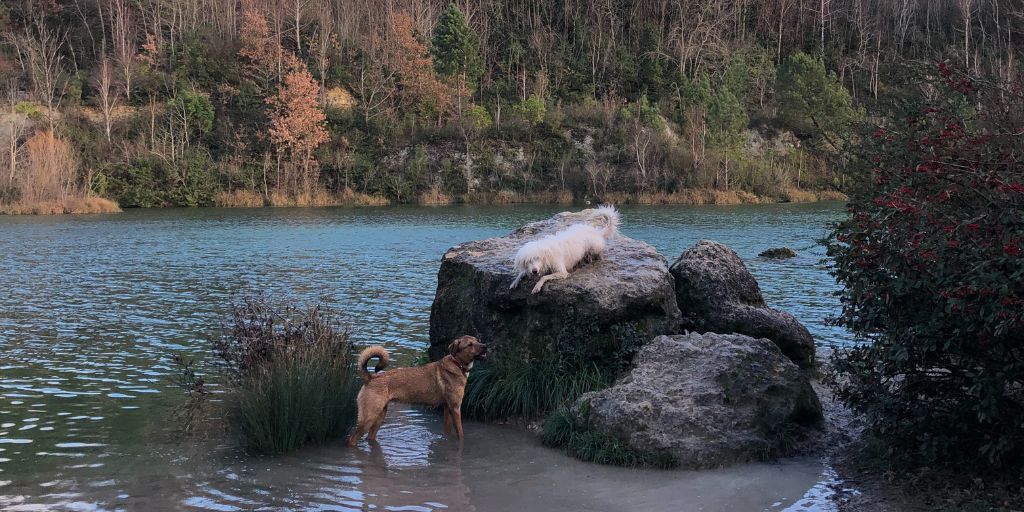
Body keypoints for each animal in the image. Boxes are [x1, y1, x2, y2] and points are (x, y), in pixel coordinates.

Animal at [346, 333, 485, 446]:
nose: (485, 346)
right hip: (368, 417)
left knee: (369, 437)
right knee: (352, 439)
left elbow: (447, 431)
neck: (457, 364)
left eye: (478, 340)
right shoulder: (455, 408)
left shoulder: (447, 408)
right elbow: (460, 433)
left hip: (380, 416)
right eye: (470, 344)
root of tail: (370, 378)